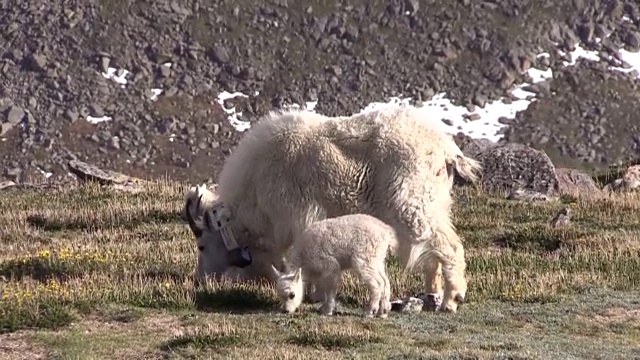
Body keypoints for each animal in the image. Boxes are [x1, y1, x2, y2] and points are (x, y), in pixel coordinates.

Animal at [272, 214, 400, 318]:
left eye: (292, 295)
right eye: (279, 295)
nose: (286, 311)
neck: (304, 257)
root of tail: (386, 232)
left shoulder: (328, 264)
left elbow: (330, 288)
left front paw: (327, 310)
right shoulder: (318, 271)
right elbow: (321, 286)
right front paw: (320, 302)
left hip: (365, 257)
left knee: (377, 283)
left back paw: (370, 311)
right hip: (377, 259)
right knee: (385, 281)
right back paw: (383, 312)